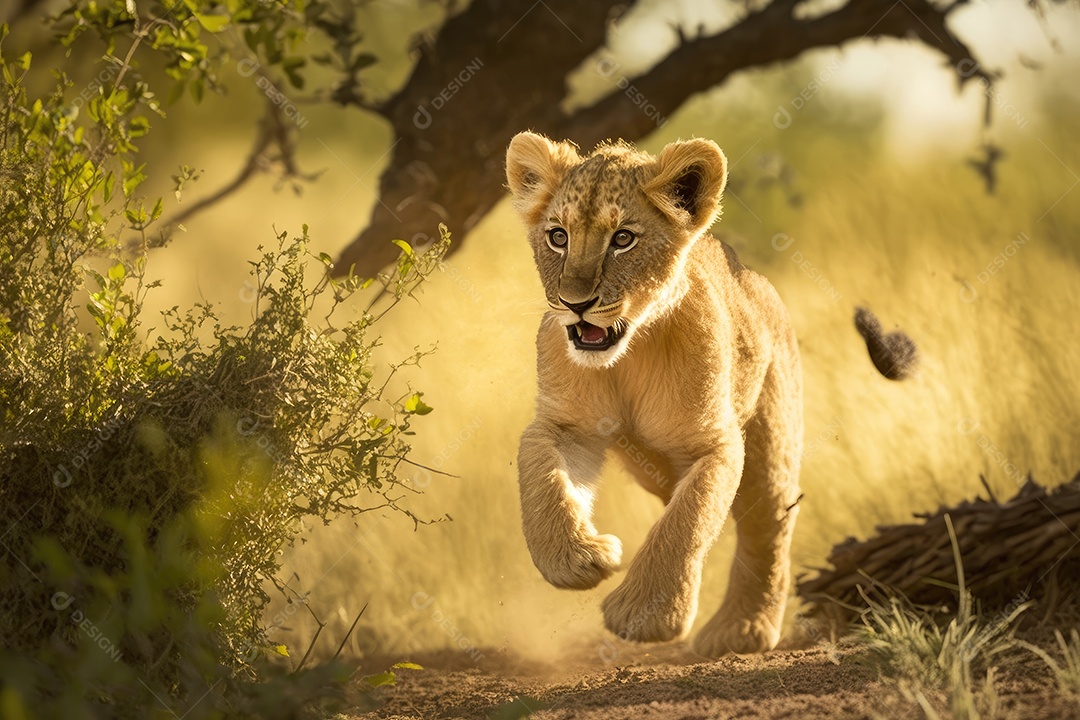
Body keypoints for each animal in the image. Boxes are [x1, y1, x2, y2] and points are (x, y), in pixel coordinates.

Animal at [504, 131, 803, 658]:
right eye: (558, 236)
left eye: (623, 239)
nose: (575, 304)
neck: (629, 355)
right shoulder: (566, 425)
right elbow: (542, 479)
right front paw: (580, 558)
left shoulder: (714, 443)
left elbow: (688, 519)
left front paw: (646, 616)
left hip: (772, 436)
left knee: (768, 524)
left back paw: (743, 628)